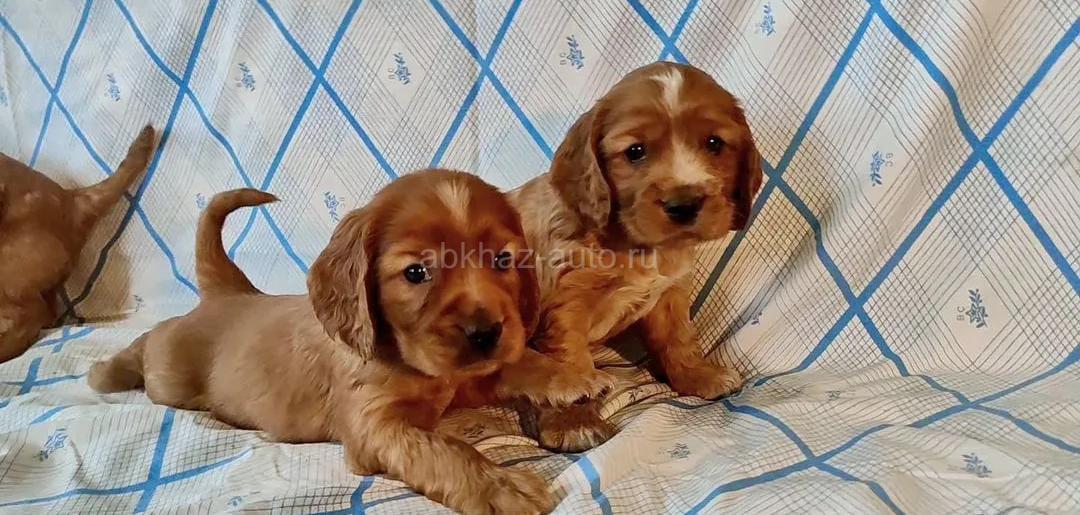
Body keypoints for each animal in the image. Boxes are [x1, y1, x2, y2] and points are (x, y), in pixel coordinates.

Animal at [89, 170, 610, 514]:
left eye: (503, 260)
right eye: (416, 273)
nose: (485, 333)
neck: (410, 362)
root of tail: (230, 292)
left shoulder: (464, 376)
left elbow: (512, 364)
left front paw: (565, 376)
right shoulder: (375, 428)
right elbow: (446, 450)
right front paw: (501, 487)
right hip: (171, 372)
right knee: (149, 343)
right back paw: (104, 371)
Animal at [509, 62, 764, 451]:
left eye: (714, 144)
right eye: (635, 151)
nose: (684, 204)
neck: (635, 246)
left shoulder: (669, 293)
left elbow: (679, 338)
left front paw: (698, 376)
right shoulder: (564, 305)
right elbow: (569, 360)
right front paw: (573, 420)